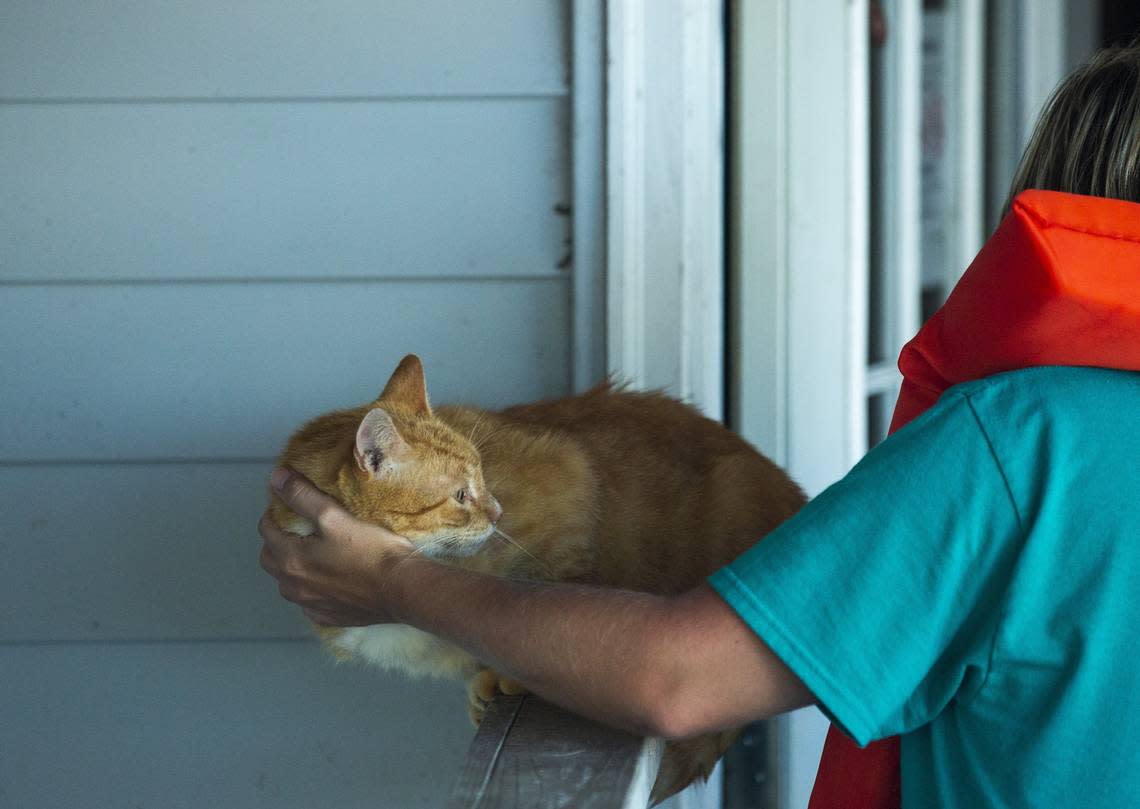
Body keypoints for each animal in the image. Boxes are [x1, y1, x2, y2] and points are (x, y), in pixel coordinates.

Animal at [267, 355, 807, 806]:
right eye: (460, 495)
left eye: (484, 478)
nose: (497, 510)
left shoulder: (567, 480)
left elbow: (555, 585)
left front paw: (512, 676)